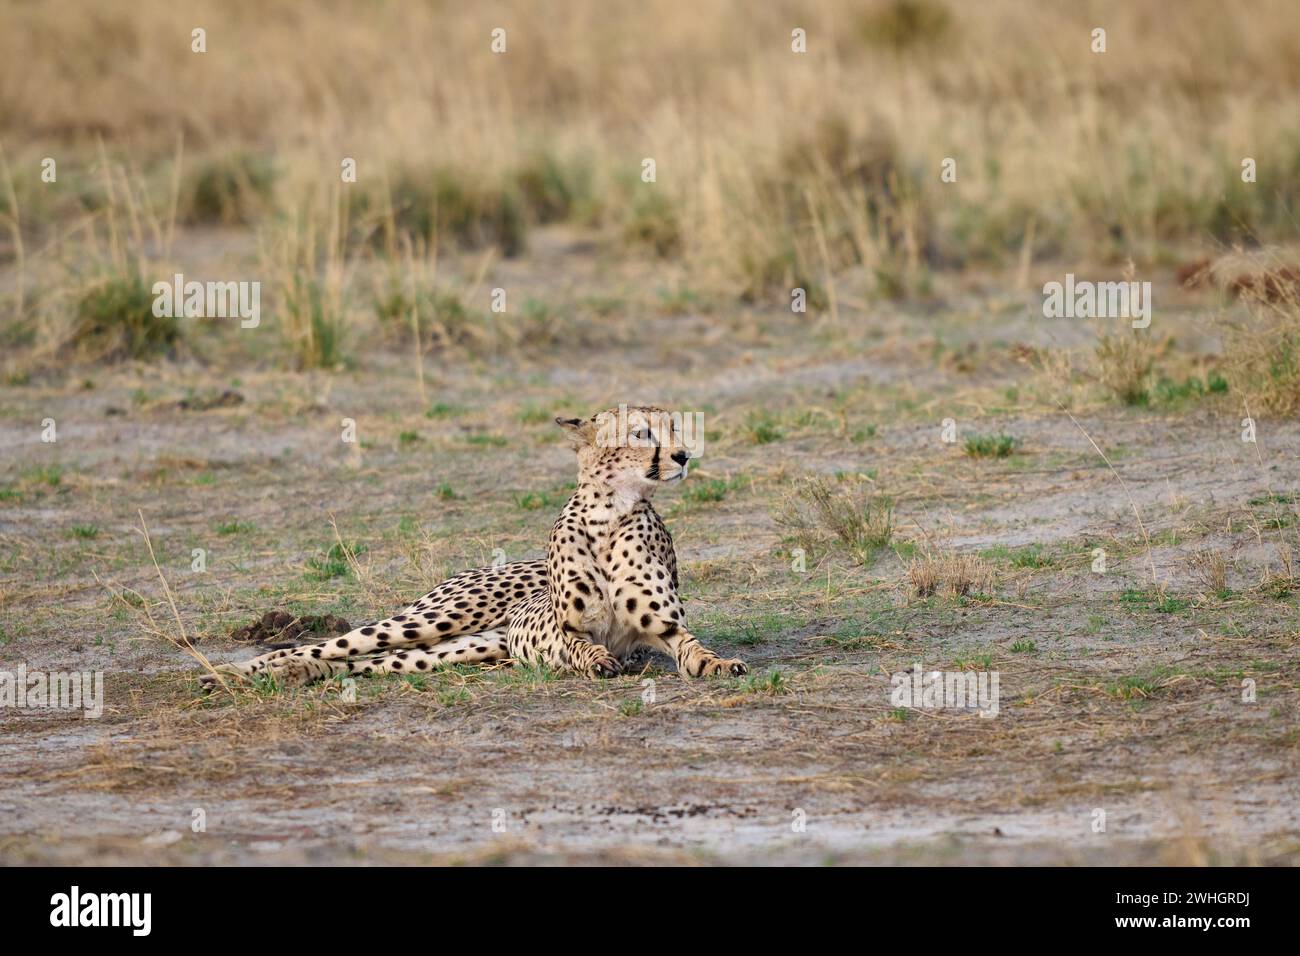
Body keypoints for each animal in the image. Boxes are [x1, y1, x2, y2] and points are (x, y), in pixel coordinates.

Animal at [204, 403, 754, 686]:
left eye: (675, 427)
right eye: (642, 433)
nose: (683, 456)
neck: (610, 513)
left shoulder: (662, 628)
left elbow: (692, 646)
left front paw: (718, 663)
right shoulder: (568, 629)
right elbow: (580, 645)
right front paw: (597, 661)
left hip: (455, 650)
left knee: (353, 661)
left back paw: (289, 674)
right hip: (430, 621)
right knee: (322, 644)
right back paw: (226, 672)